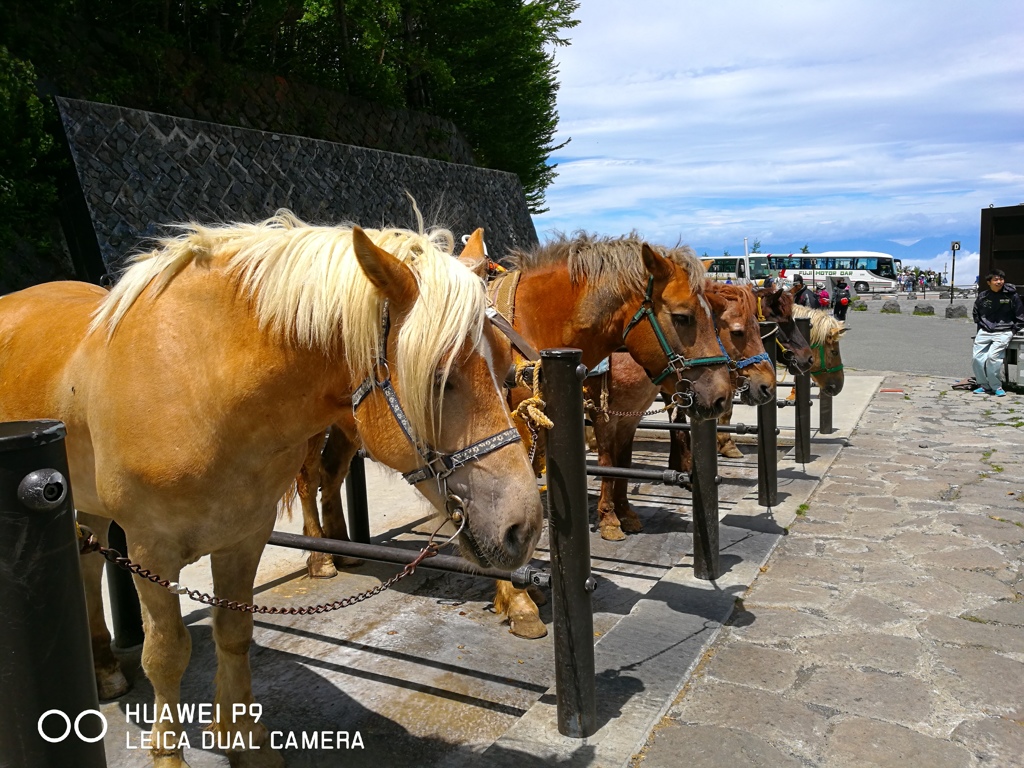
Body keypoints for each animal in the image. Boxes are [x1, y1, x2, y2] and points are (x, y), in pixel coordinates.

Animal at [0, 211, 544, 768]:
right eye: (439, 377)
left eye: (506, 368)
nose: (523, 526)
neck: (200, 383)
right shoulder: (151, 550)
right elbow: (166, 655)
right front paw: (170, 756)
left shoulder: (244, 537)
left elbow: (235, 635)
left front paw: (243, 741)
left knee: (87, 564)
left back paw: (105, 666)